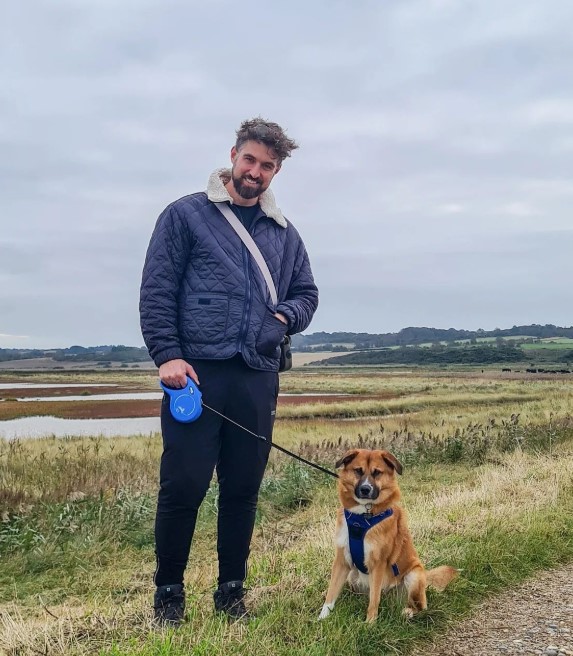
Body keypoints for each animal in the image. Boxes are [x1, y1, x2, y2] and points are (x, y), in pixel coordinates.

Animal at [318, 448, 456, 624]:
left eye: (377, 472)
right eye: (358, 471)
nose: (365, 489)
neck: (363, 517)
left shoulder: (378, 563)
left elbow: (374, 599)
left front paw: (370, 623)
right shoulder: (342, 560)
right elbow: (331, 593)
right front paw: (322, 617)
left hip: (414, 575)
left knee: (419, 607)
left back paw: (408, 612)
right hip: (351, 574)